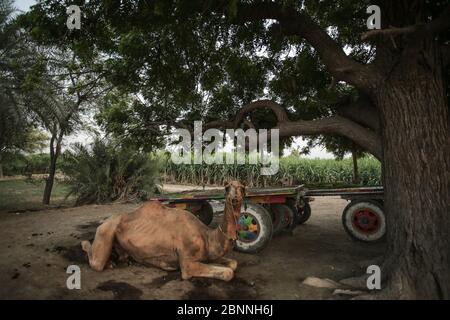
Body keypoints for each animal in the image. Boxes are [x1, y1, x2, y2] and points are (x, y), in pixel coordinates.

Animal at [80, 181, 243, 282]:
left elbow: (233, 263)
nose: (235, 195)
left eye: (242, 186)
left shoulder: (208, 255)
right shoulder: (187, 262)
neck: (208, 237)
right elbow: (228, 272)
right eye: (227, 187)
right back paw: (89, 247)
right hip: (106, 229)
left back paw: (117, 261)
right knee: (96, 263)